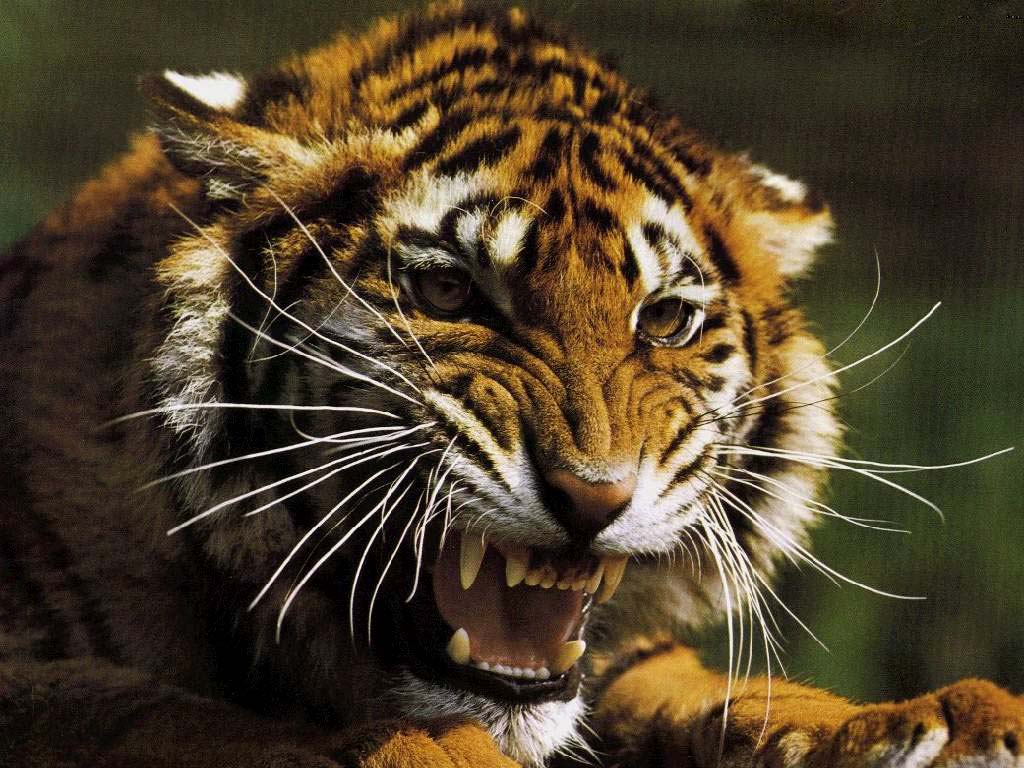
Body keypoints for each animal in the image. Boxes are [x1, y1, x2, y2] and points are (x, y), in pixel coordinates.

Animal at [1, 2, 1021, 767]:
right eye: (449, 289)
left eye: (664, 319)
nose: (593, 498)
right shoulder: (40, 675)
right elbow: (180, 718)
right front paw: (426, 747)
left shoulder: (620, 667)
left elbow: (725, 695)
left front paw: (939, 727)